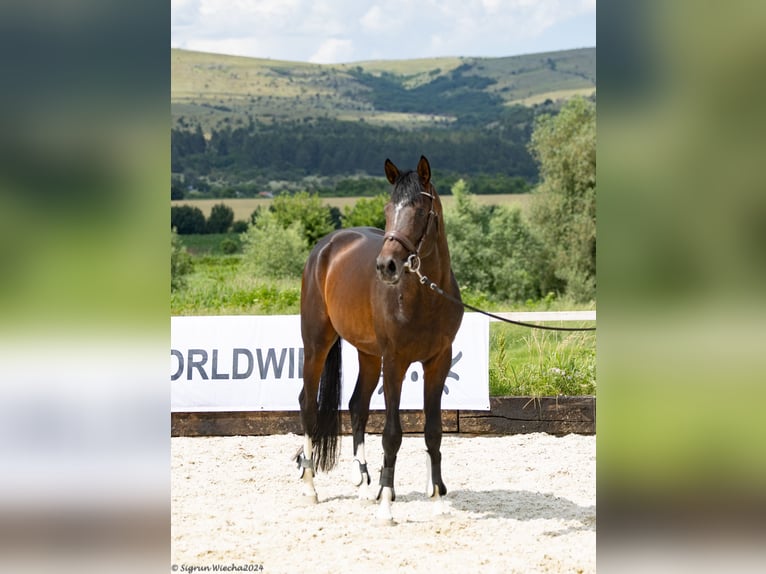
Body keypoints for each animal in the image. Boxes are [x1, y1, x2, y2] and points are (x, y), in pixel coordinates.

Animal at [296, 156, 462, 520]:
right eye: (388, 209)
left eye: (418, 210)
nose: (387, 266)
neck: (424, 296)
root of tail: (325, 247)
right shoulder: (395, 362)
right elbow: (392, 433)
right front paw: (386, 505)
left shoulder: (438, 362)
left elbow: (433, 432)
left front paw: (436, 500)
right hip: (316, 344)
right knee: (308, 404)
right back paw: (311, 487)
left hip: (369, 355)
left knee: (357, 405)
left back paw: (363, 482)